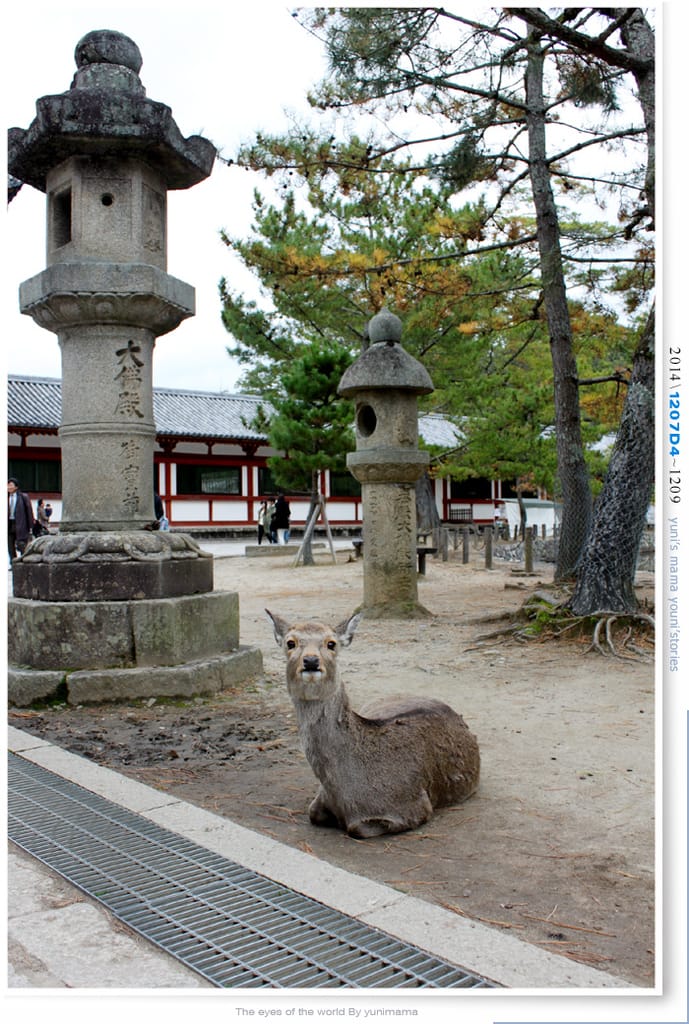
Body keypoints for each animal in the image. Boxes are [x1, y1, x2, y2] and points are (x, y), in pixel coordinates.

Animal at [266, 610, 480, 839]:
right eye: (290, 642)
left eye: (331, 643)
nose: (311, 660)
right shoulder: (319, 799)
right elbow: (313, 813)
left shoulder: (415, 805)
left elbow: (356, 828)